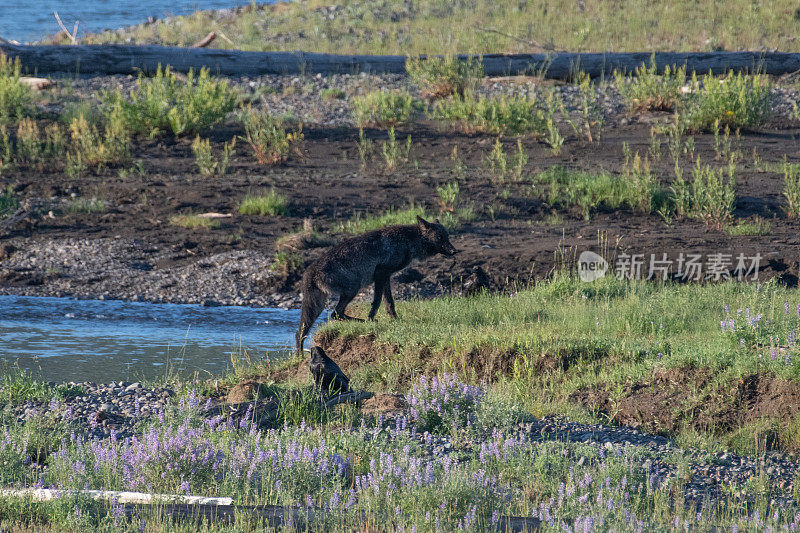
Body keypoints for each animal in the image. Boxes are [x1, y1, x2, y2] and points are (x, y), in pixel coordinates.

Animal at [296, 216, 456, 354]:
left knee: (300, 332)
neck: (408, 240)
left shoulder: (386, 277)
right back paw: (364, 322)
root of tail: (311, 271)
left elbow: (389, 302)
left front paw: (395, 320)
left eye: (447, 236)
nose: (455, 251)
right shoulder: (381, 273)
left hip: (318, 306)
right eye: (440, 237)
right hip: (352, 290)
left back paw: (299, 357)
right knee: (335, 314)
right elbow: (377, 302)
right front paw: (372, 320)